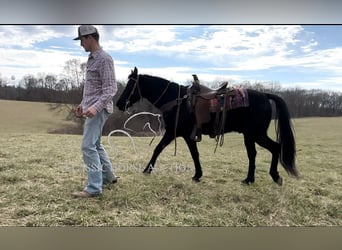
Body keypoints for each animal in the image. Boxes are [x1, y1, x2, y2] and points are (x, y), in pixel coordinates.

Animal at [115, 67, 296, 185]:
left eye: (130, 85)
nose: (119, 103)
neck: (177, 100)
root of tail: (265, 95)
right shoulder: (185, 135)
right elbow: (194, 154)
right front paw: (197, 175)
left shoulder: (175, 133)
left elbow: (159, 149)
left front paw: (147, 170)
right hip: (249, 135)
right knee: (254, 154)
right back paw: (250, 179)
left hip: (256, 133)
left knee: (274, 147)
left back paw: (274, 176)